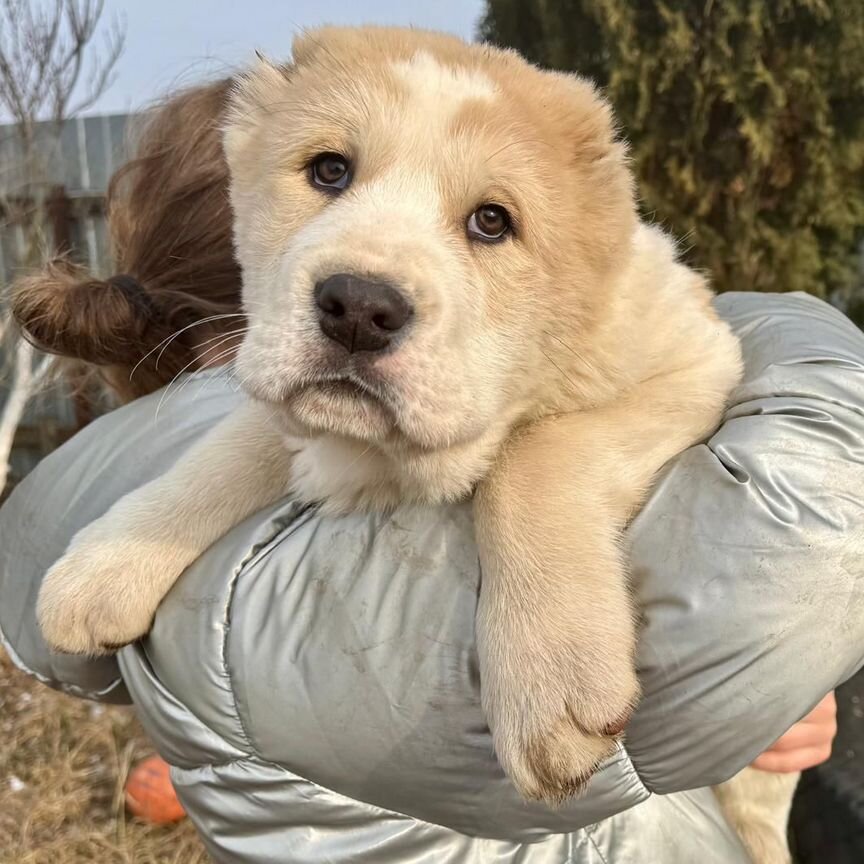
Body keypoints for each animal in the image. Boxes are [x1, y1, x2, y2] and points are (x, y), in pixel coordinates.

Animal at [38, 23, 784, 860]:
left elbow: (533, 457)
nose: (359, 308)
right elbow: (226, 450)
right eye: (329, 171)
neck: (387, 457)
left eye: (492, 221)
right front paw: (103, 568)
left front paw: (554, 679)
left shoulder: (694, 367)